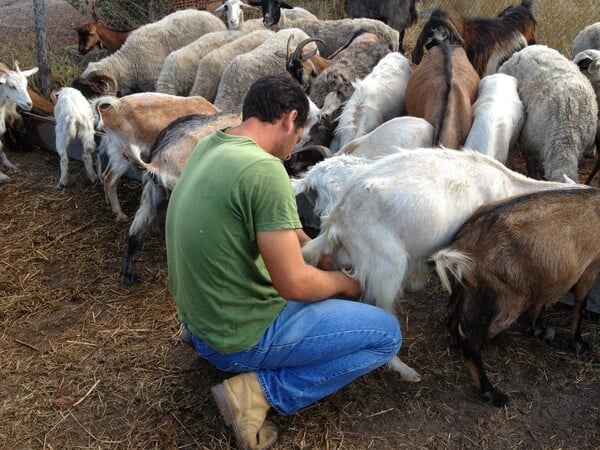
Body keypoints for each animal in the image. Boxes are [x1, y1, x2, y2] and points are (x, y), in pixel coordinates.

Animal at [434, 187, 596, 408]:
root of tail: (462, 245)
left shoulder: (543, 274)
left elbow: (542, 300)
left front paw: (536, 328)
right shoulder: (590, 265)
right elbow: (580, 303)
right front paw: (579, 344)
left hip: (473, 290)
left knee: (453, 321)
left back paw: (456, 342)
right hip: (505, 297)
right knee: (473, 343)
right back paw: (493, 393)